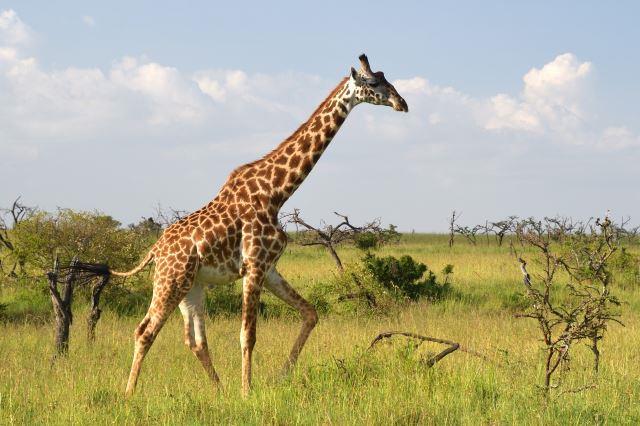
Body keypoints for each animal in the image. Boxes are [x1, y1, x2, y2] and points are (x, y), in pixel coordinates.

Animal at [112, 53, 408, 396]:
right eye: (373, 82)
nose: (402, 103)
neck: (277, 192)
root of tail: (155, 250)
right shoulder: (253, 265)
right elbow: (247, 335)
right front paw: (247, 392)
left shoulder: (269, 267)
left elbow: (310, 313)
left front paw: (281, 376)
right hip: (170, 280)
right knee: (145, 330)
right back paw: (129, 393)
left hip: (192, 286)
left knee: (195, 340)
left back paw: (219, 390)